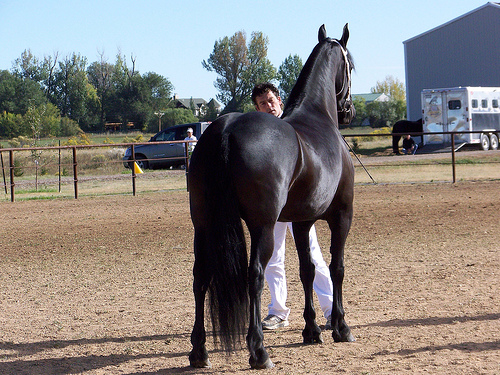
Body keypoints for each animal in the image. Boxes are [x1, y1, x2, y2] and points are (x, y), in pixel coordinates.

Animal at [188, 24, 356, 370]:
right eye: (352, 66)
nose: (350, 110)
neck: (318, 117)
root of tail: (226, 129)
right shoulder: (342, 216)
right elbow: (336, 267)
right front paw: (341, 327)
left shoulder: (302, 221)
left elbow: (308, 271)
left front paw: (312, 330)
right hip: (262, 227)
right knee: (254, 275)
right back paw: (259, 351)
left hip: (204, 225)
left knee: (201, 276)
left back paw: (199, 352)